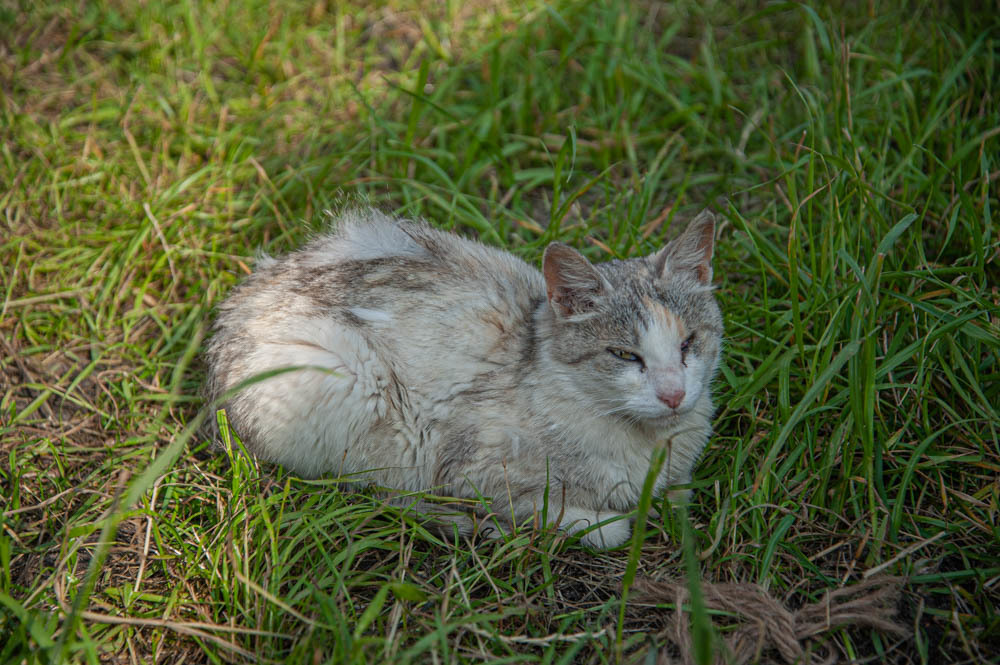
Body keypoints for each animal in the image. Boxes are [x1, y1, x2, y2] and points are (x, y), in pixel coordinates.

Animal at [203, 206, 724, 544]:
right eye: (623, 354)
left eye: (688, 343)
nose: (674, 394)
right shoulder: (464, 466)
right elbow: (566, 513)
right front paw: (592, 521)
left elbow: (678, 494)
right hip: (341, 377)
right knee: (364, 487)